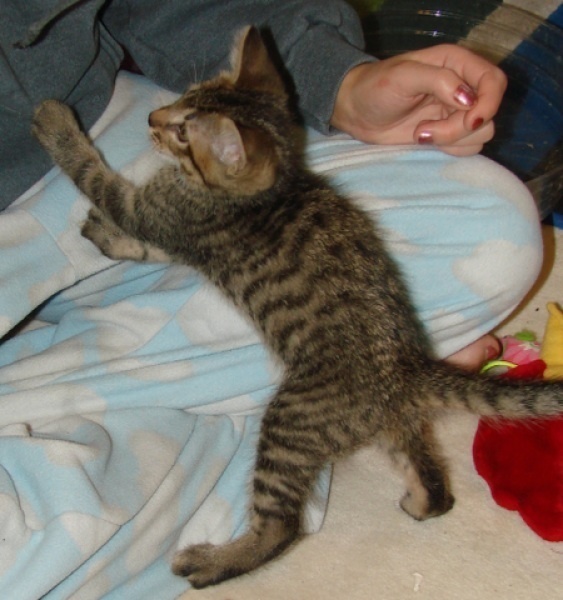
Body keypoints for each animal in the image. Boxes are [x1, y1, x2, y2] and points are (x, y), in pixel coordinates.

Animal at [33, 25, 563, 588]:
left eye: (182, 134)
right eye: (182, 99)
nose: (152, 118)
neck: (273, 186)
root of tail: (406, 368)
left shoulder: (162, 215)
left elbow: (95, 175)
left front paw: (55, 121)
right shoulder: (175, 231)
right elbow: (141, 244)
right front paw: (108, 238)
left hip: (291, 423)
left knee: (283, 528)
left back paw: (210, 562)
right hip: (392, 424)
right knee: (428, 472)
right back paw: (422, 502)